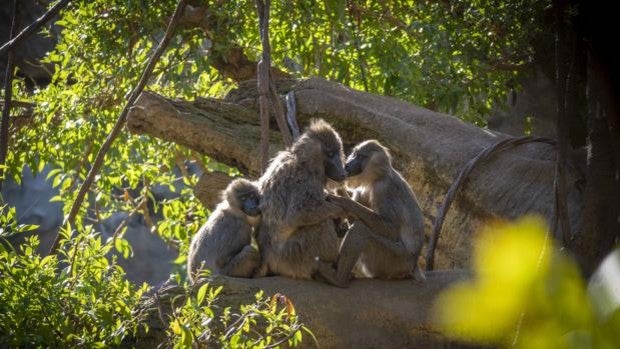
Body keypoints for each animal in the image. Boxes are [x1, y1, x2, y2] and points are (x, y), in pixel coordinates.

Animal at [318, 140, 424, 286]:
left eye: (360, 156)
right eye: (354, 154)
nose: (347, 164)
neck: (377, 176)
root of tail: (413, 266)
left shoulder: (383, 189)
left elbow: (390, 228)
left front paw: (340, 199)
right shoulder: (364, 190)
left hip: (394, 261)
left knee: (361, 229)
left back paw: (338, 279)